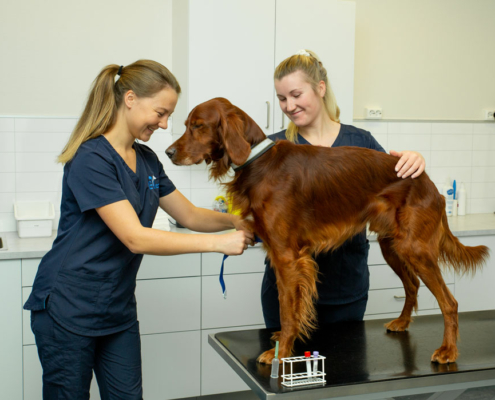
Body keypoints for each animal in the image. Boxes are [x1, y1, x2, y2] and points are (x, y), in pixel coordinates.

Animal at [166, 97, 488, 366]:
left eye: (198, 126)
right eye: (185, 125)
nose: (168, 152)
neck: (258, 160)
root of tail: (430, 184)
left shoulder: (287, 257)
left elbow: (287, 308)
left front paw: (280, 352)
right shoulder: (282, 256)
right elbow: (289, 307)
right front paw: (283, 340)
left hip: (414, 248)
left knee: (449, 302)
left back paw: (448, 351)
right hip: (393, 246)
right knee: (412, 285)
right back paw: (401, 323)